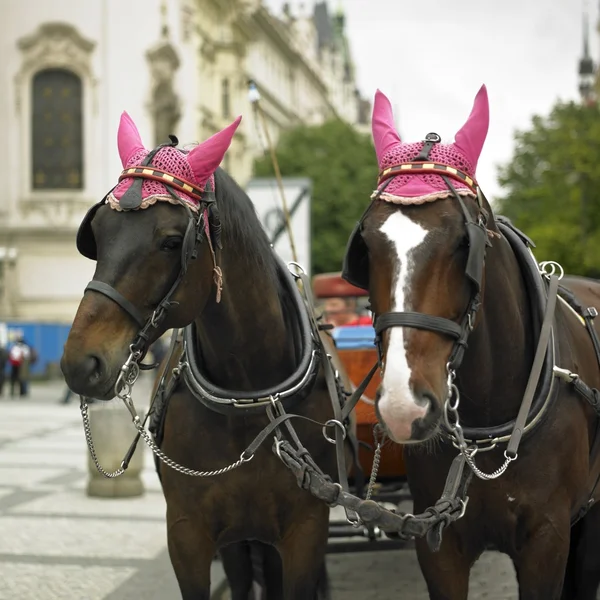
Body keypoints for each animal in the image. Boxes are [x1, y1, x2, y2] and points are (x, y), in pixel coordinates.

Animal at [60, 113, 356, 600]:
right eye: (97, 236)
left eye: (170, 241)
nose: (80, 363)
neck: (249, 398)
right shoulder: (188, 533)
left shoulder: (306, 530)